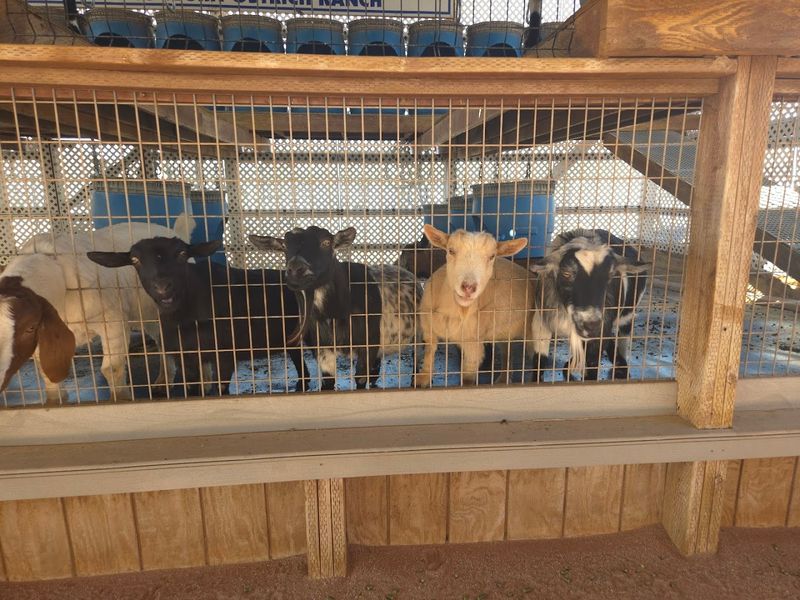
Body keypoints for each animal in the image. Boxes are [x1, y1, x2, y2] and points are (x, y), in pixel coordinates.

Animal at [0, 217, 194, 402]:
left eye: (28, 327)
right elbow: (47, 371)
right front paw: (55, 401)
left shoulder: (112, 321)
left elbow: (111, 367)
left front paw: (120, 398)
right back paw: (163, 381)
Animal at [89, 237, 305, 397]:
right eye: (135, 260)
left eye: (182, 254)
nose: (162, 287)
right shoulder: (185, 356)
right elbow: (193, 389)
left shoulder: (225, 352)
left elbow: (221, 388)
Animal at [249, 226, 421, 390]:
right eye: (284, 245)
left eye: (326, 242)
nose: (296, 269)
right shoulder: (322, 346)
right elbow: (328, 381)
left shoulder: (368, 342)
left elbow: (360, 379)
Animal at [415, 224, 537, 387]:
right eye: (451, 250)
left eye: (492, 256)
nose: (468, 287)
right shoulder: (428, 327)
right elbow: (430, 351)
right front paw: (422, 378)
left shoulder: (473, 342)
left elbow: (469, 373)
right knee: (507, 351)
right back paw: (503, 379)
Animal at [528, 228, 649, 381]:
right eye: (566, 273)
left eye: (610, 275)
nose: (591, 324)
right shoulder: (541, 322)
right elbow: (539, 360)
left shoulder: (600, 332)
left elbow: (592, 366)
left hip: (627, 314)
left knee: (623, 335)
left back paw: (621, 368)